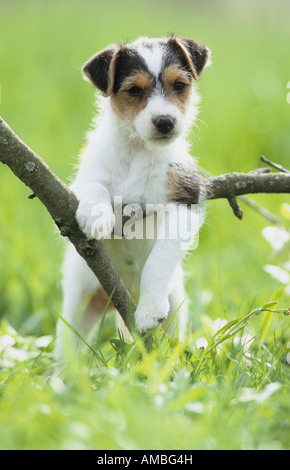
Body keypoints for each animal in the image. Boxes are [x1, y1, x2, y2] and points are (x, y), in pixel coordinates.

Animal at [55, 35, 211, 356]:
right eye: (134, 90)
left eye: (179, 85)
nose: (165, 121)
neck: (139, 151)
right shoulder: (80, 182)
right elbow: (95, 186)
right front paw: (97, 215)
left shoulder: (186, 199)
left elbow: (158, 260)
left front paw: (150, 310)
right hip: (77, 306)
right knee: (69, 352)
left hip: (176, 308)